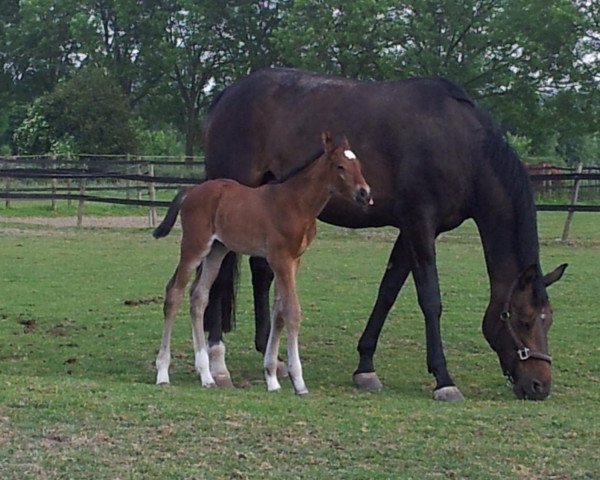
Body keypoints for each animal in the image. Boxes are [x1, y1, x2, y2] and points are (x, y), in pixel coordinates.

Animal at [152, 131, 372, 394]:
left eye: (358, 165)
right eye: (340, 166)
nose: (365, 193)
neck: (296, 203)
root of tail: (191, 191)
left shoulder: (293, 261)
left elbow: (279, 312)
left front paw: (272, 378)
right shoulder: (280, 259)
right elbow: (291, 312)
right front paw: (298, 382)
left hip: (217, 250)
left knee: (198, 297)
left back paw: (206, 375)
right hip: (194, 247)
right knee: (174, 292)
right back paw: (163, 373)